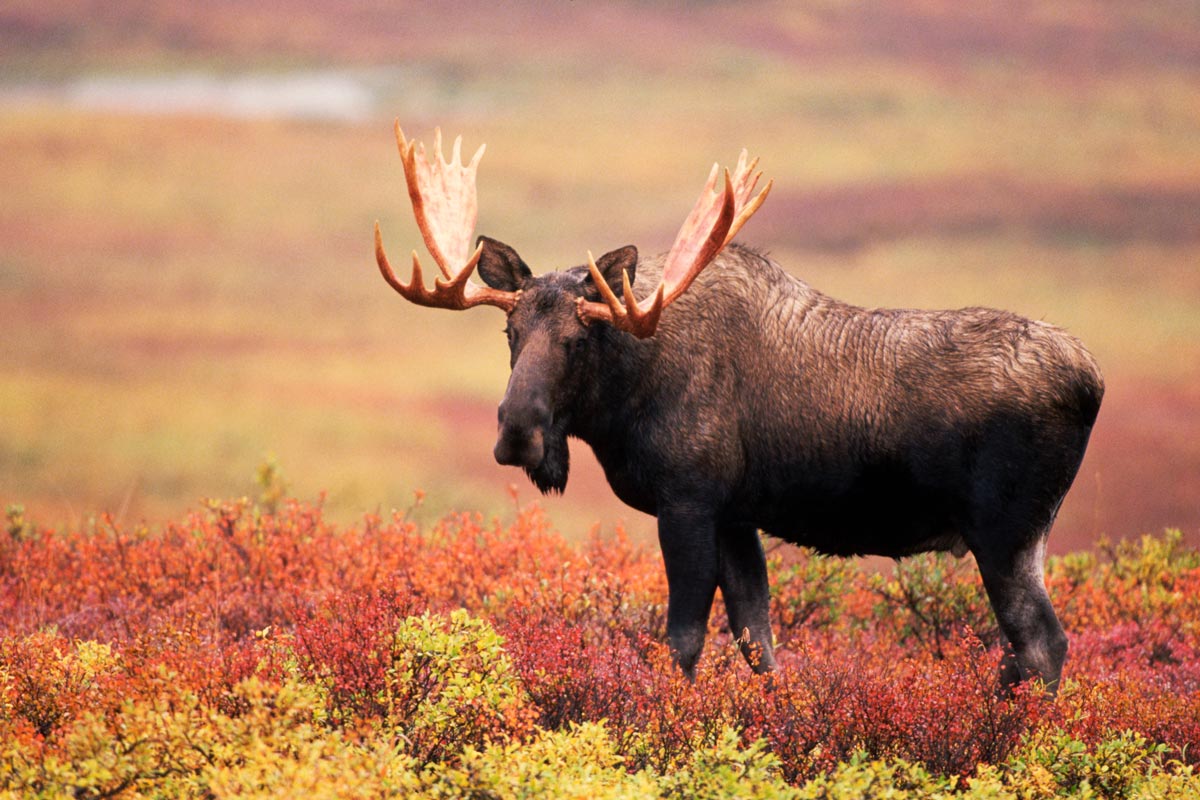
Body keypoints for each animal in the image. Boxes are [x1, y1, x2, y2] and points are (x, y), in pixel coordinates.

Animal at [374, 125, 1104, 695]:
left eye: (580, 340)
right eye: (509, 332)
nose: (517, 435)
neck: (627, 400)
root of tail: (1093, 381)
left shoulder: (689, 502)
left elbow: (683, 641)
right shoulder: (736, 515)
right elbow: (759, 642)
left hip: (1005, 530)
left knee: (1041, 643)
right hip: (1020, 534)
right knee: (1026, 648)